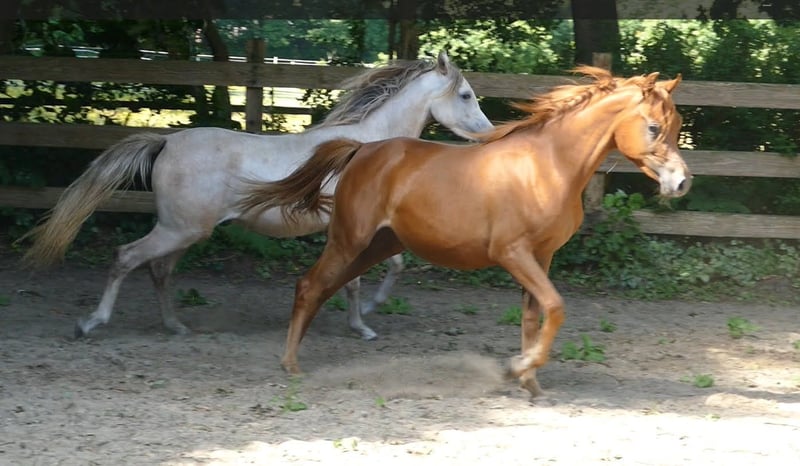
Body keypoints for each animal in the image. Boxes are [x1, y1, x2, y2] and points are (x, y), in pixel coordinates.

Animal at [19, 51, 494, 341]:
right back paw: (91, 324)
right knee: (127, 258)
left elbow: (385, 268)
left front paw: (365, 319)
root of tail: (166, 142)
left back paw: (175, 326)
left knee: (159, 270)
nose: (489, 135)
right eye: (466, 94)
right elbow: (364, 276)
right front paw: (367, 321)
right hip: (179, 229)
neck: (368, 146)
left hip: (186, 231)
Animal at [239, 66, 691, 397]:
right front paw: (516, 369)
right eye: (654, 127)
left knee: (329, 286)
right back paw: (292, 363)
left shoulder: (542, 256)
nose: (681, 183)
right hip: (350, 239)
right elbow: (556, 307)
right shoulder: (513, 253)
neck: (549, 165)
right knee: (310, 285)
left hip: (377, 245)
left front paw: (530, 383)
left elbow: (533, 317)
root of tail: (363, 149)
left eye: (677, 125)